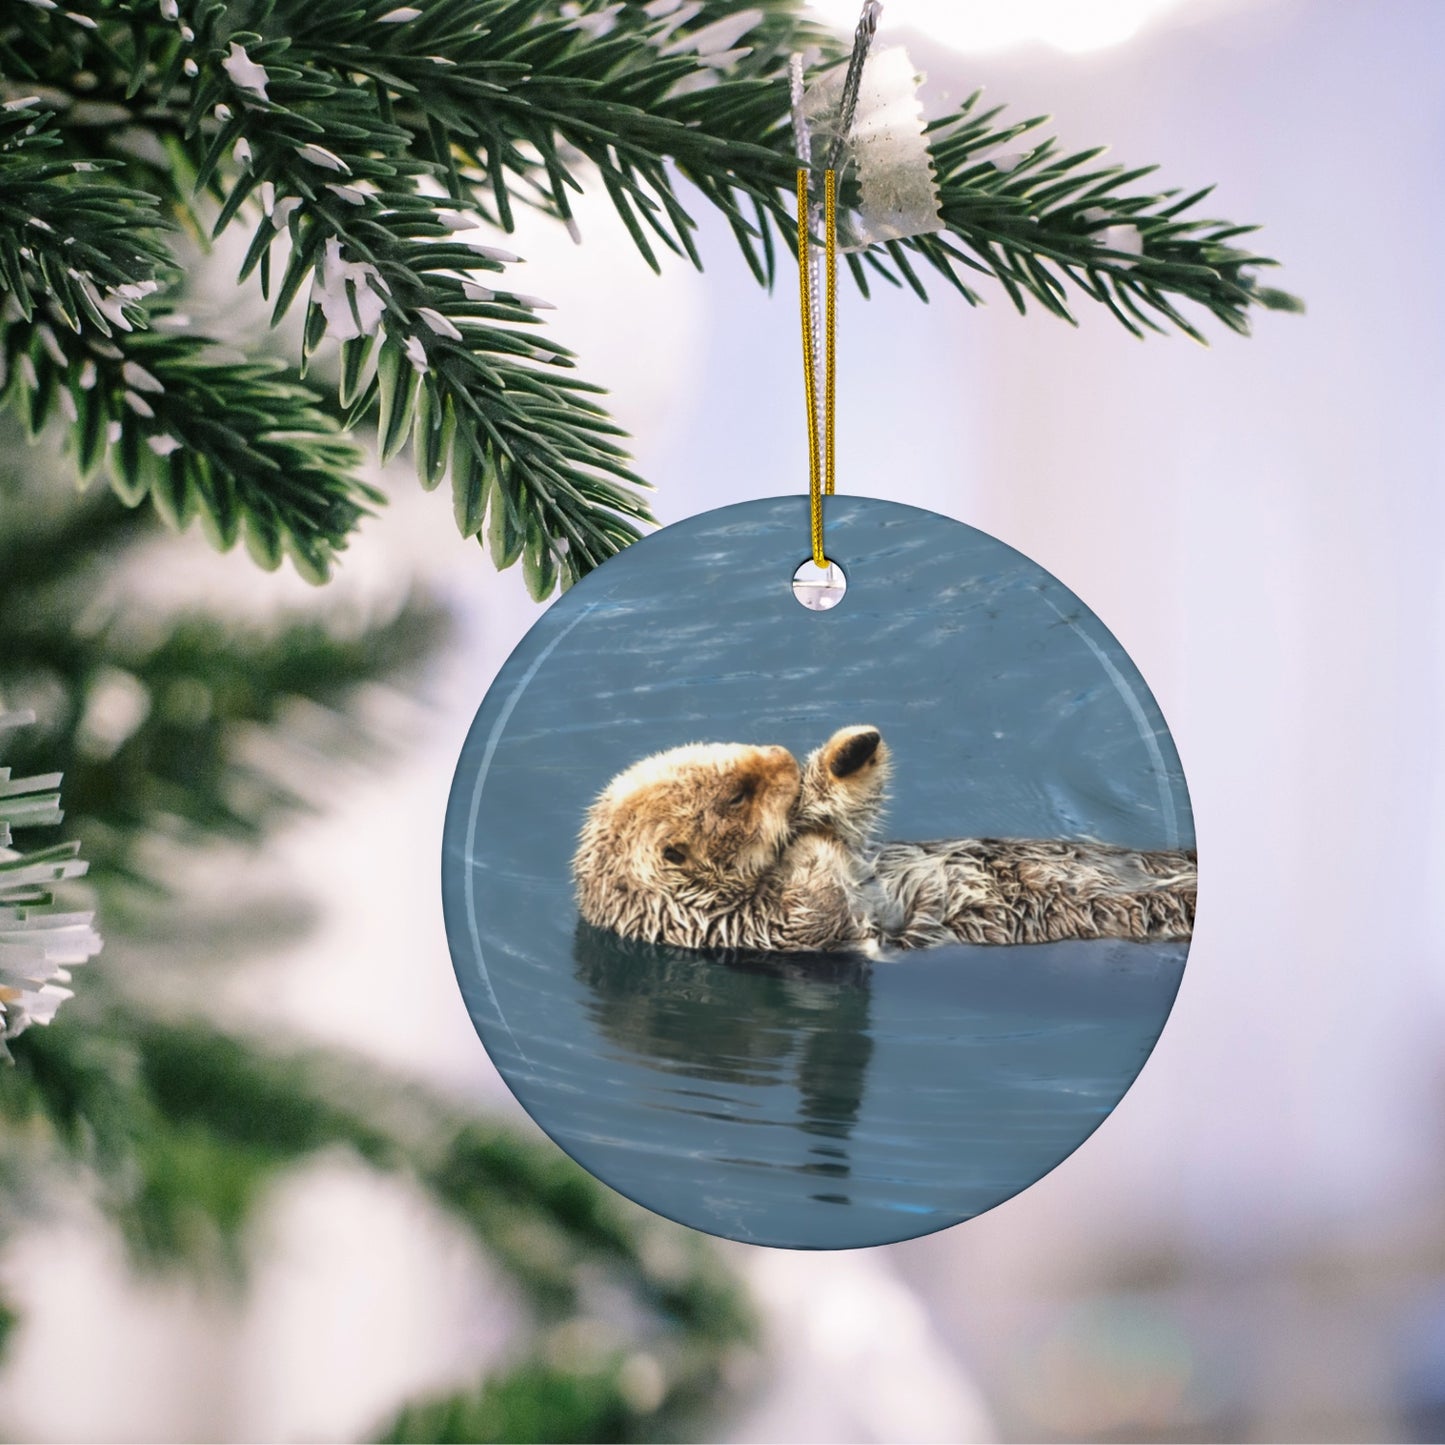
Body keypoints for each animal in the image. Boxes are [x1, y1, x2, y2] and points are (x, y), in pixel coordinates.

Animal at [572, 726, 1196, 954]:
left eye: (735, 749)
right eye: (738, 796)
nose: (781, 757)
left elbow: (848, 823)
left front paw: (848, 754)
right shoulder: (747, 927)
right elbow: (815, 906)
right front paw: (807, 838)